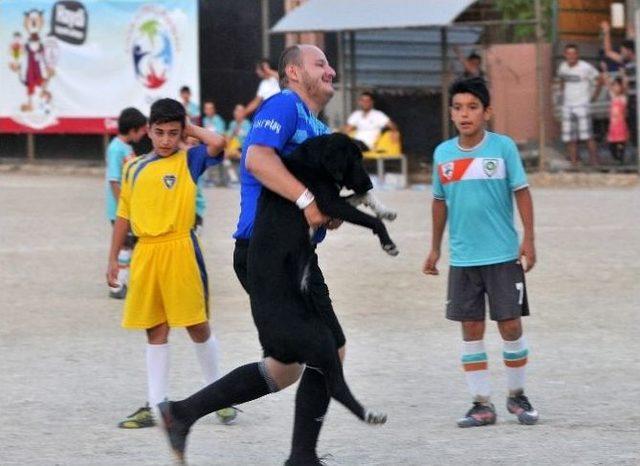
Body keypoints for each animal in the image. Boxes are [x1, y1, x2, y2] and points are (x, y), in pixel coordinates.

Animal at [246, 133, 392, 424]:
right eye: (354, 159)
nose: (370, 180)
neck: (310, 163)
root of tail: (268, 340)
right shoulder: (328, 203)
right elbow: (372, 221)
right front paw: (387, 242)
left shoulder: (335, 204)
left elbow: (361, 197)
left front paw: (383, 208)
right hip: (321, 340)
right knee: (335, 387)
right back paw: (370, 414)